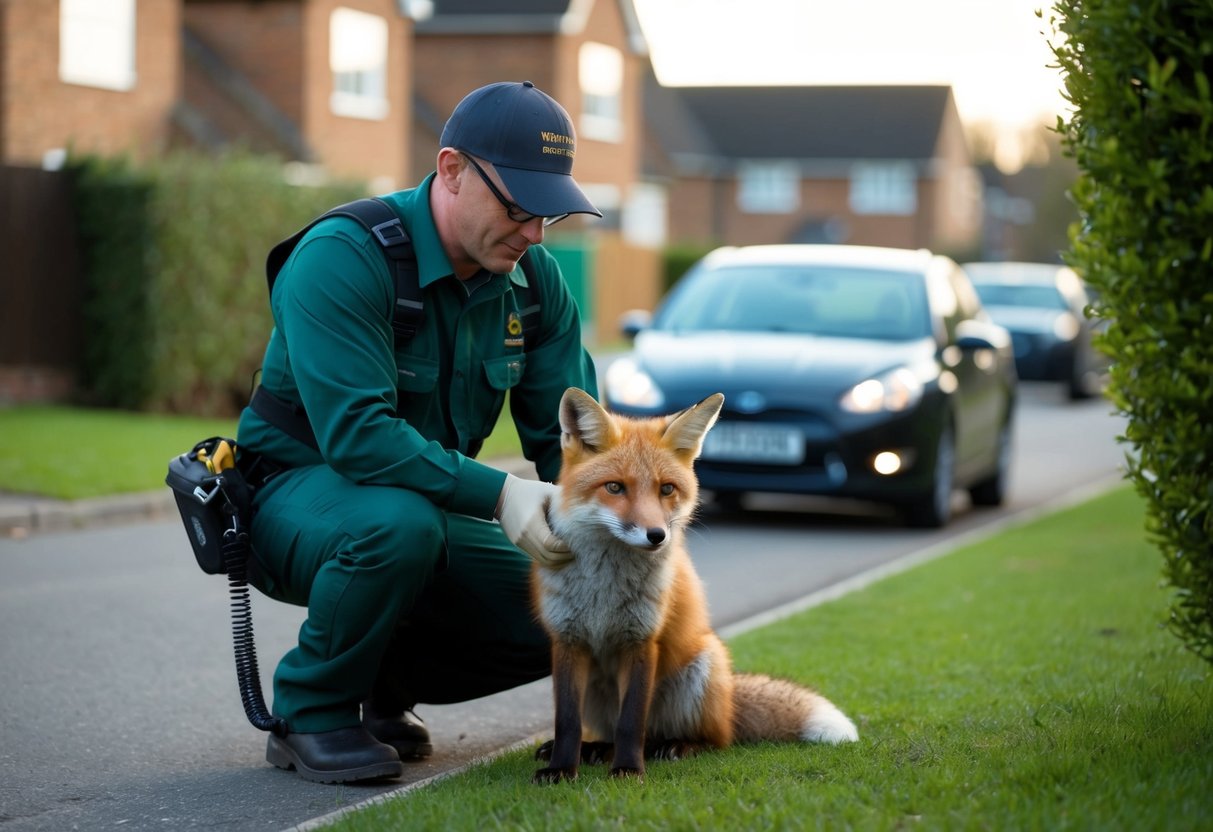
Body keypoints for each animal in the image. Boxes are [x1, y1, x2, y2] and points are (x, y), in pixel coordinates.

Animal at [530, 387, 858, 784]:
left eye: (666, 489)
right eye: (615, 487)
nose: (657, 535)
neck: (602, 590)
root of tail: (730, 699)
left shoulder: (642, 640)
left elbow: (630, 722)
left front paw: (628, 770)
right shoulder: (567, 639)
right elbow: (567, 722)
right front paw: (561, 768)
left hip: (703, 667)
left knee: (708, 739)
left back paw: (676, 746)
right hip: (597, 693)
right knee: (612, 732)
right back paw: (596, 749)